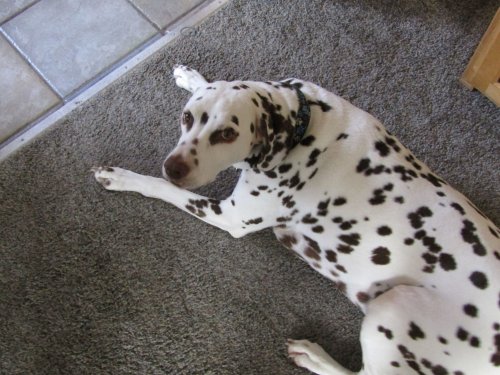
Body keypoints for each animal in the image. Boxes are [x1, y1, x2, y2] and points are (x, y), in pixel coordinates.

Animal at [92, 66, 498, 374]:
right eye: (187, 117)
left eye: (227, 133)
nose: (174, 167)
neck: (305, 124)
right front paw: (191, 76)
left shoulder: (231, 215)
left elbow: (161, 188)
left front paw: (124, 178)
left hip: (394, 309)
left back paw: (313, 356)